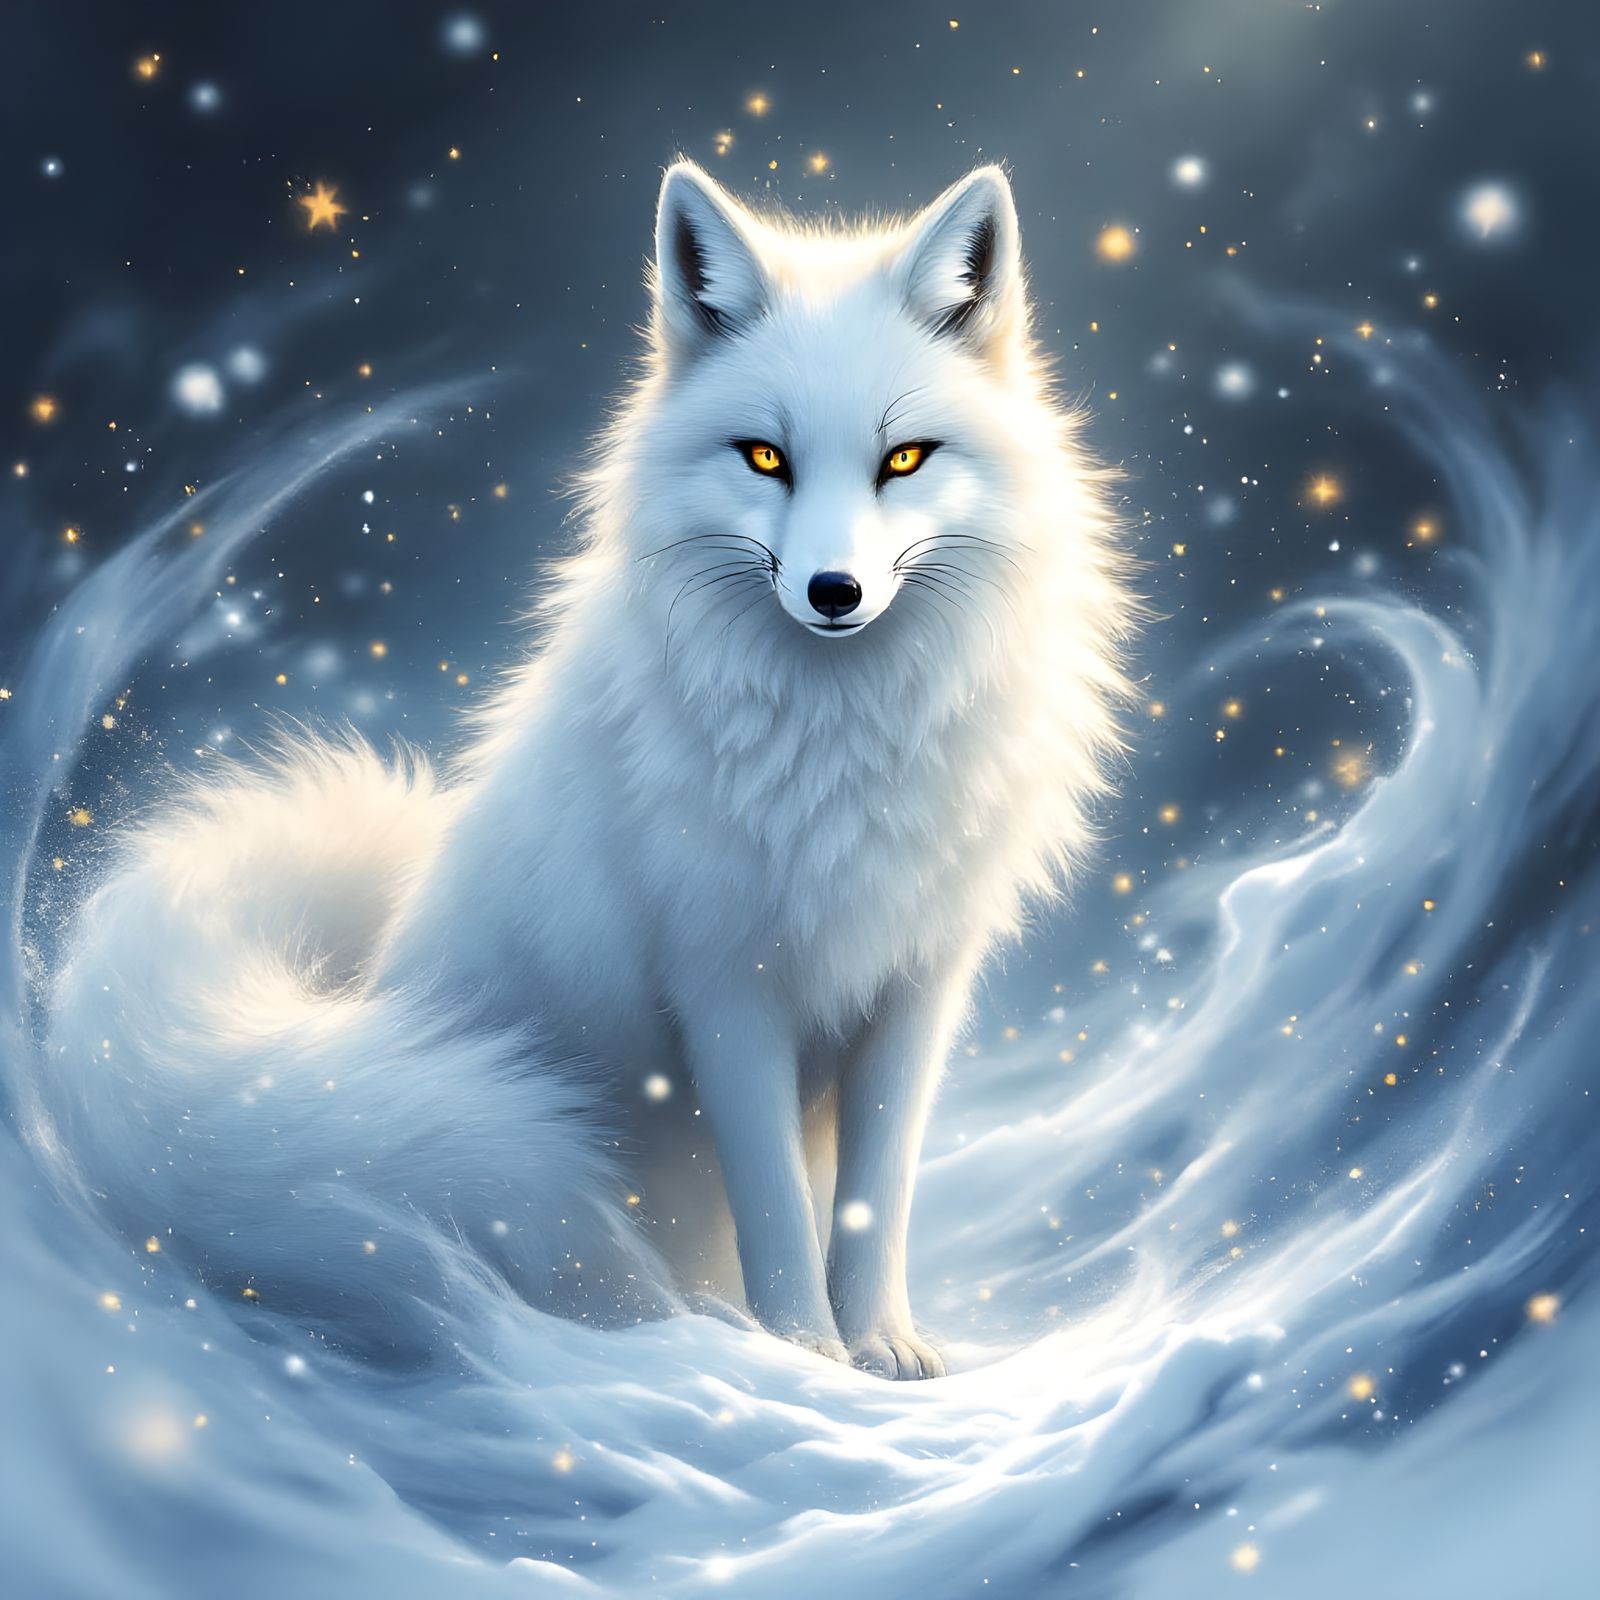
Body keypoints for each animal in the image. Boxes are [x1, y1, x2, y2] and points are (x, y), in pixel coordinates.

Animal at [40, 161, 1137, 1379]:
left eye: (904, 459)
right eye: (765, 456)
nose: (834, 592)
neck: (842, 740)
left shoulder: (918, 979)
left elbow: (874, 1198)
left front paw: (882, 1347)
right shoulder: (724, 983)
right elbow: (776, 1209)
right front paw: (804, 1355)